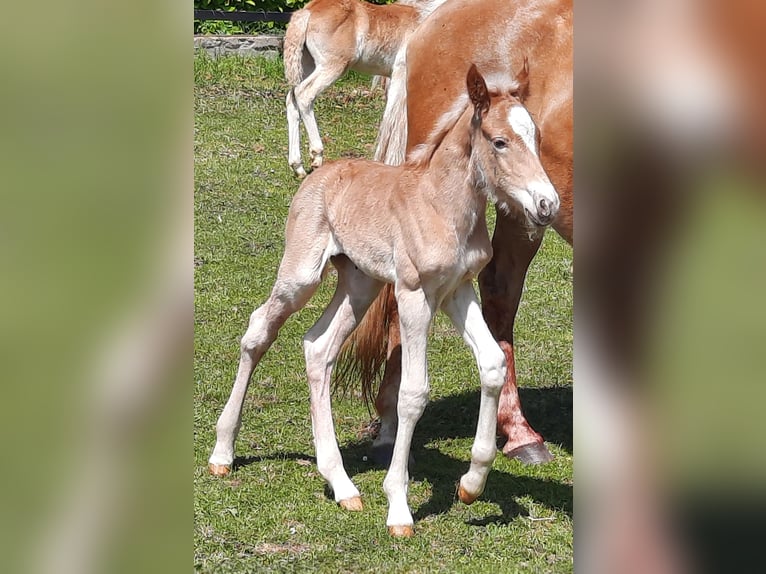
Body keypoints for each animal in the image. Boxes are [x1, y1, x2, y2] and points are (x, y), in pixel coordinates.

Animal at [210, 65, 560, 536]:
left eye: (537, 137)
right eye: (500, 141)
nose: (547, 204)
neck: (443, 206)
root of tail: (319, 174)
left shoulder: (457, 290)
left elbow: (492, 363)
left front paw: (471, 484)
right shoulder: (414, 294)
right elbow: (412, 392)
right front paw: (398, 507)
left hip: (360, 285)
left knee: (317, 346)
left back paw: (342, 485)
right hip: (301, 275)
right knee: (258, 330)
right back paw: (222, 453)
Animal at [284, 0, 448, 178]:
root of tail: (308, 11)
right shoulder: (401, 73)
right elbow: (396, 118)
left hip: (306, 66)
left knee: (292, 99)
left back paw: (297, 166)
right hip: (332, 66)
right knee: (304, 95)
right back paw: (317, 155)